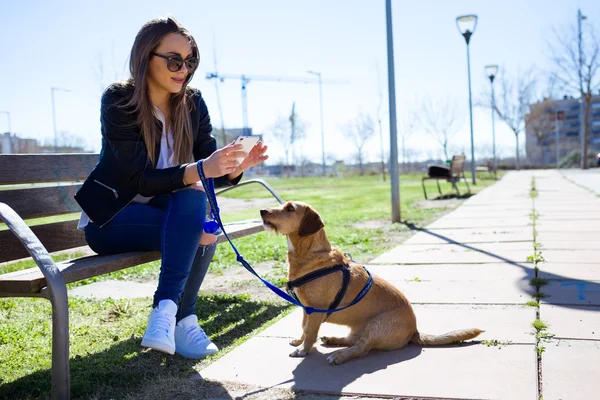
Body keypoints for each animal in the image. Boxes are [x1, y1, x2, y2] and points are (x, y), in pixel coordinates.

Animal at [262, 202, 482, 364]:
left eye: (290, 208)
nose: (262, 210)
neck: (310, 254)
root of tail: (414, 331)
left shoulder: (315, 309)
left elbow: (309, 331)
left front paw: (303, 350)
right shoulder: (305, 308)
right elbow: (303, 327)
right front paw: (299, 342)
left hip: (377, 326)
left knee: (361, 348)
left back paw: (340, 356)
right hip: (360, 327)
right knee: (354, 340)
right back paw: (334, 340)